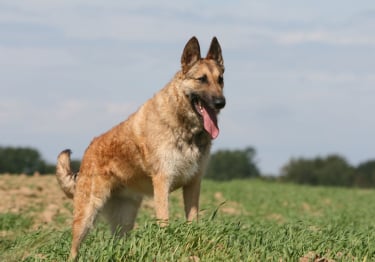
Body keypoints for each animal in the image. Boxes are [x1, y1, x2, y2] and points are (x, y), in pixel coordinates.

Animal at [56, 36, 226, 260]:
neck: (184, 124)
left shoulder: (193, 184)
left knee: (117, 243)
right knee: (74, 249)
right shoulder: (162, 183)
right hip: (87, 215)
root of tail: (87, 152)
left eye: (220, 79)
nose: (221, 102)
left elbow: (192, 222)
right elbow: (165, 223)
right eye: (202, 79)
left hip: (125, 219)